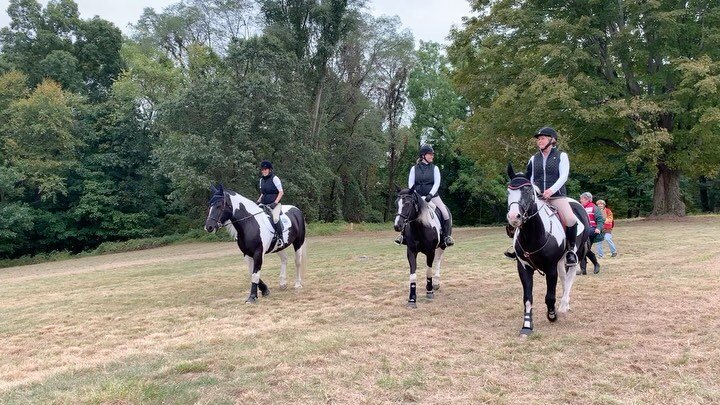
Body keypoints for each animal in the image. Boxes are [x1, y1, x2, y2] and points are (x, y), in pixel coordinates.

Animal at [506, 164, 592, 334]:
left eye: (527, 190)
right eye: (508, 191)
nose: (513, 217)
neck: (533, 235)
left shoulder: (551, 267)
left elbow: (549, 296)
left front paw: (552, 315)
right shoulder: (523, 268)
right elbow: (527, 298)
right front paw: (527, 325)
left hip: (575, 254)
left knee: (570, 276)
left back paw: (563, 305)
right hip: (560, 261)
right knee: (564, 277)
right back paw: (565, 305)